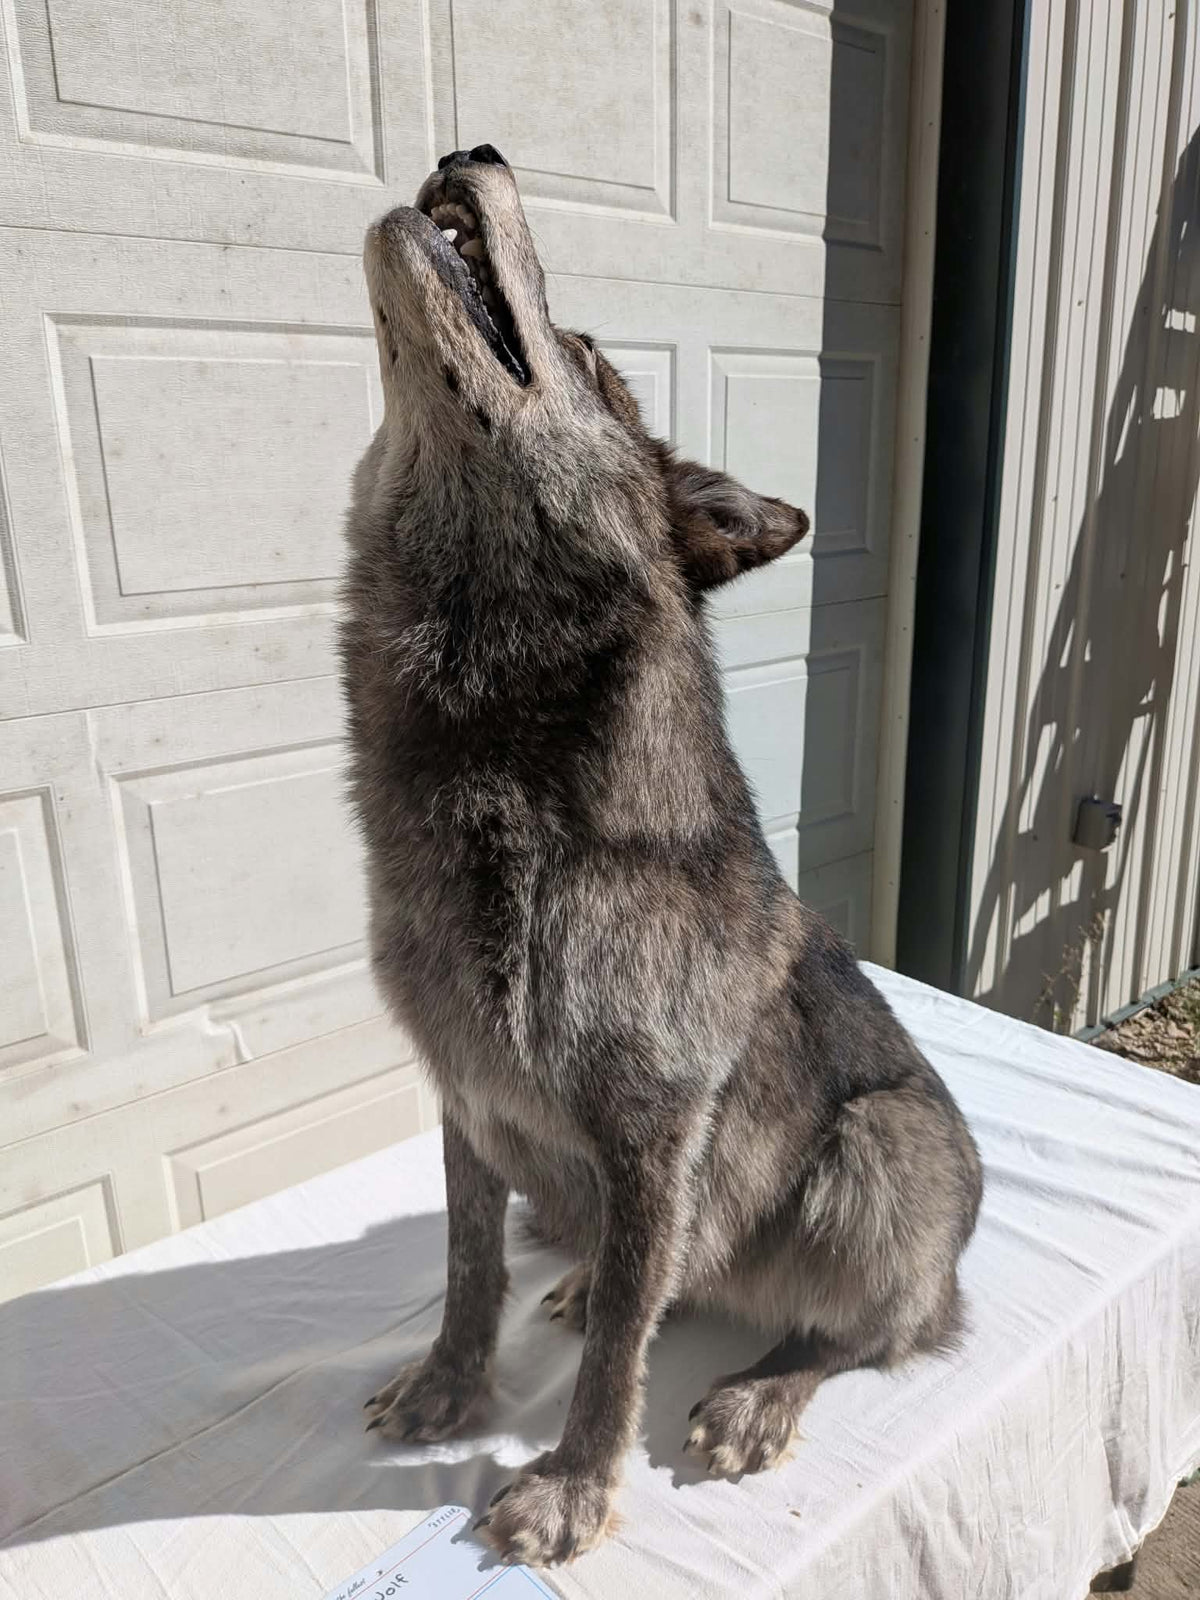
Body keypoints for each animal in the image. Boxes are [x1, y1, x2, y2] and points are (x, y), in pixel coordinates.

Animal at [342, 145, 983, 1567]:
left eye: (583, 353)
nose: (473, 153)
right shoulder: (464, 1097)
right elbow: (471, 1270)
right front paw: (451, 1389)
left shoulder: (655, 1130)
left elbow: (620, 1361)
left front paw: (574, 1485)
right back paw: (590, 1281)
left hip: (881, 1148)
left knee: (874, 1332)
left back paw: (760, 1391)